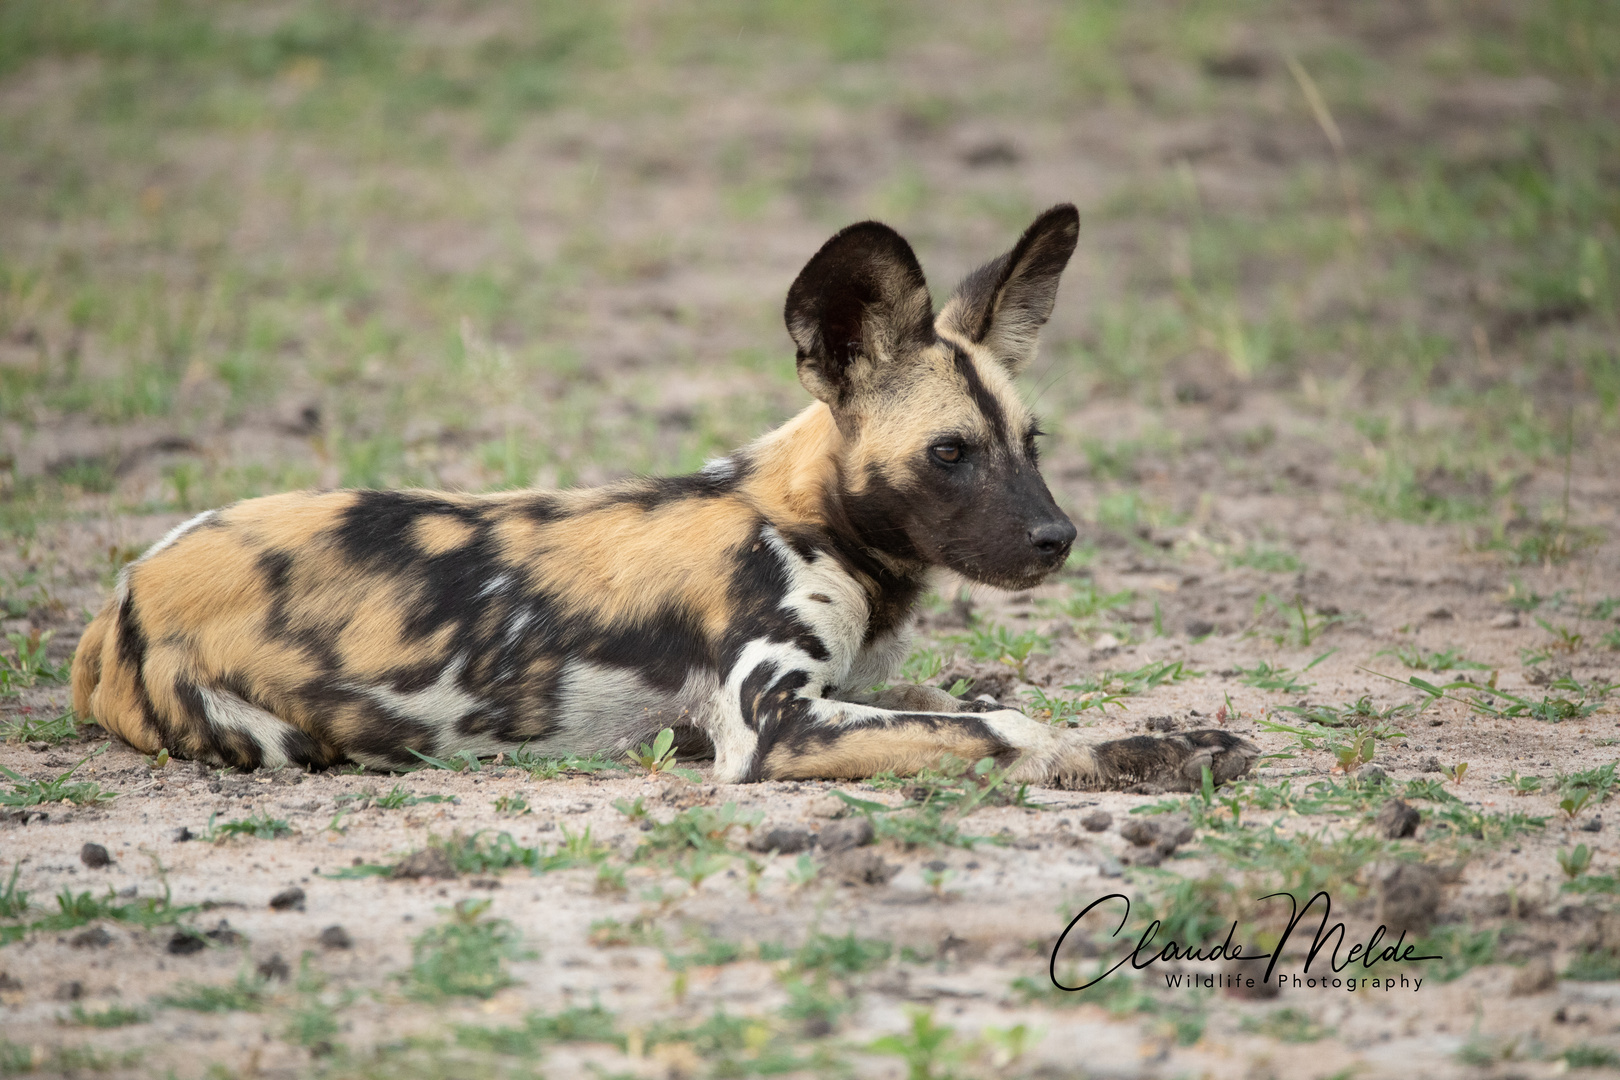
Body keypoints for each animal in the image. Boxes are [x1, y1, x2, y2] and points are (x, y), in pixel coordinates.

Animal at [69, 207, 1257, 790]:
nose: (1059, 539)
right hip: (279, 735)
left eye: (1030, 442)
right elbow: (1006, 724)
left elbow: (1000, 710)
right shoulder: (772, 724)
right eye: (952, 453)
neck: (815, 524)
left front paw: (1168, 749)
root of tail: (122, 593)